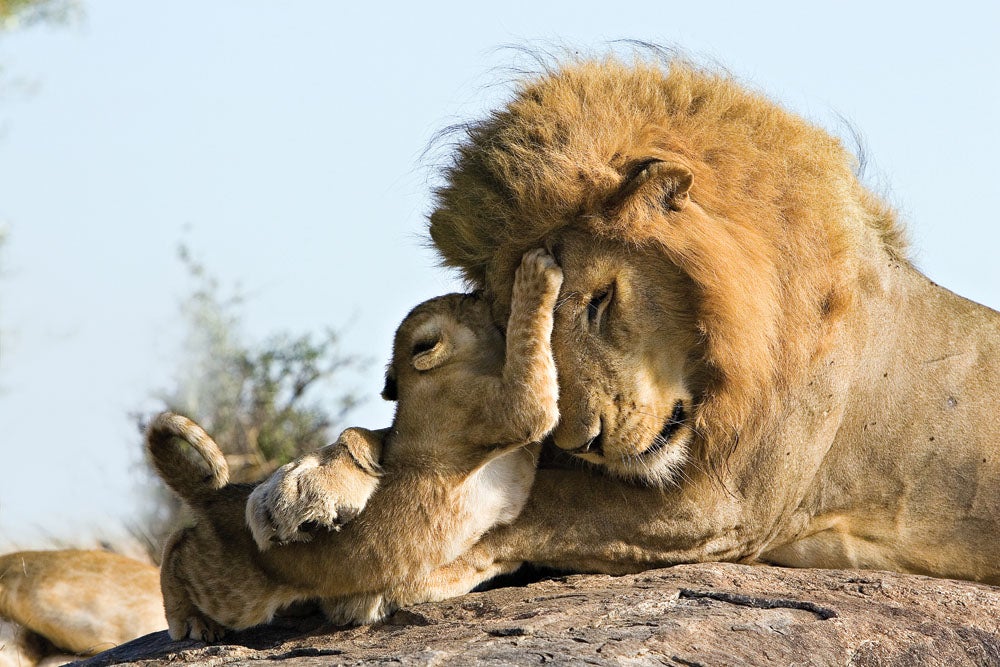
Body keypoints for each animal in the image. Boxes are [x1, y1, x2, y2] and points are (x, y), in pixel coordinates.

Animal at [260, 57, 1000, 596]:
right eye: (521, 319)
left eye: (598, 300)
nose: (583, 440)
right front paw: (297, 487)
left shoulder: (724, 502)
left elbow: (544, 499)